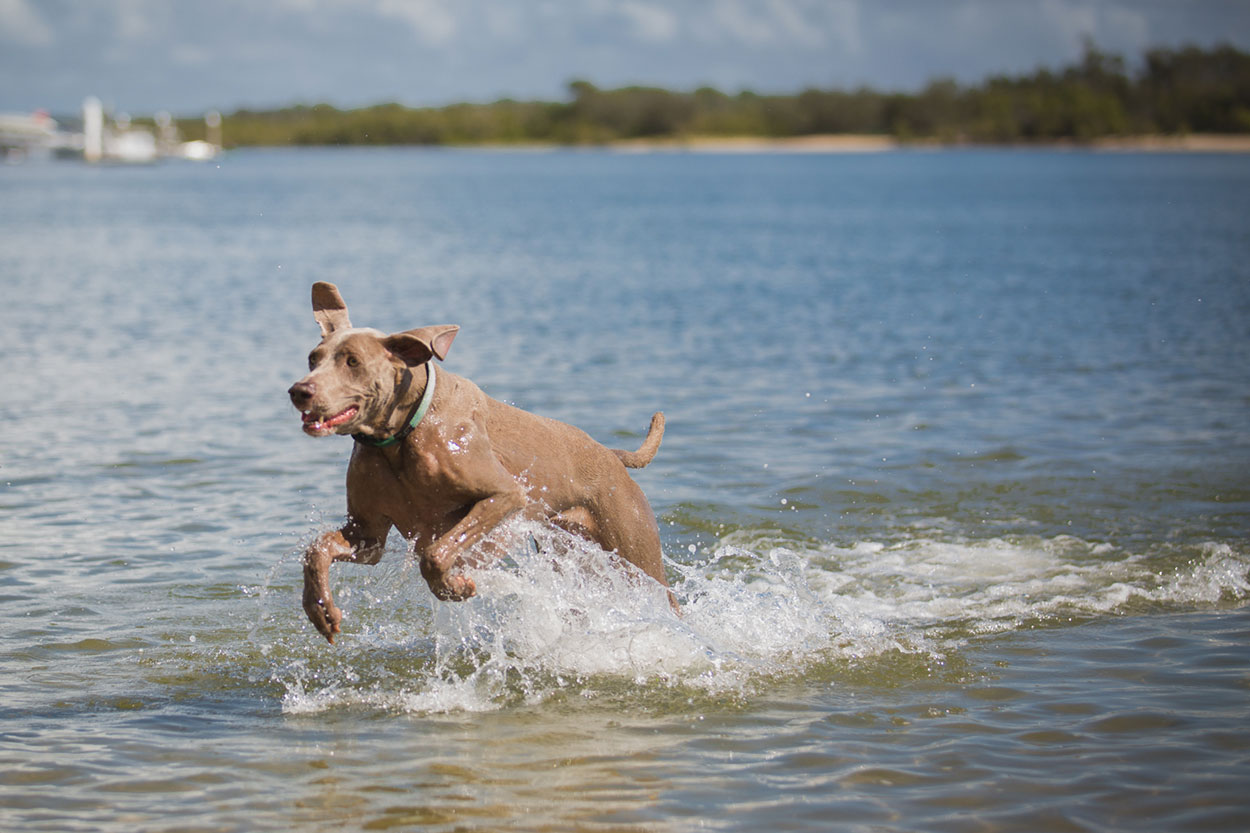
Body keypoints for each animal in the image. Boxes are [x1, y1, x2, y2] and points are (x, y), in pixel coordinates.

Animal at [287, 282, 675, 637]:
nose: (298, 390)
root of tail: (612, 456)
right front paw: (319, 609)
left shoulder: (505, 495)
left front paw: (454, 586)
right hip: (565, 551)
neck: (399, 437)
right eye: (312, 358)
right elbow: (317, 549)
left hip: (635, 553)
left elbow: (435, 554)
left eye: (352, 362)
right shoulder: (367, 534)